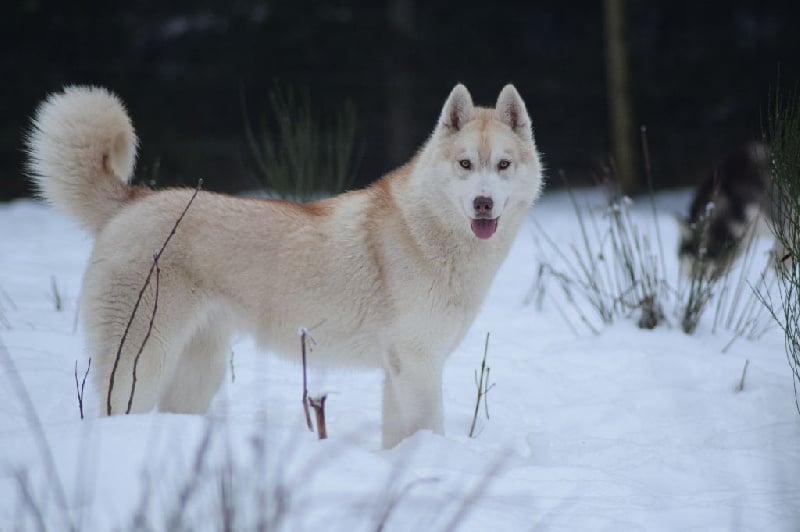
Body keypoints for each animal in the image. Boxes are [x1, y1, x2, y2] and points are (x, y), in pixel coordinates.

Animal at [26, 83, 543, 447]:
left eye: (502, 165)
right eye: (465, 164)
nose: (482, 204)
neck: (429, 232)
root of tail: (132, 201)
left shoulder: (400, 371)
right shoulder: (417, 365)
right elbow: (428, 431)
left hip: (197, 372)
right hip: (140, 366)